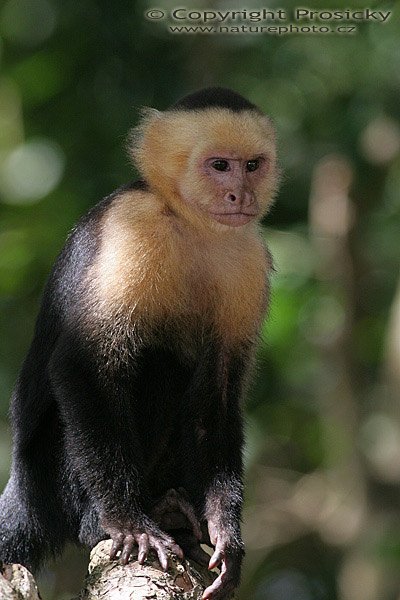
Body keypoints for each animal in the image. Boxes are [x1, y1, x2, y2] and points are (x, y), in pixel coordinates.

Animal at [0, 88, 278, 600]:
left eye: (252, 165)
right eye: (219, 166)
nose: (241, 195)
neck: (190, 223)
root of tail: (24, 488)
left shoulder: (246, 255)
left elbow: (217, 396)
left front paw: (225, 533)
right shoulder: (132, 226)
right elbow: (83, 364)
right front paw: (128, 524)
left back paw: (178, 519)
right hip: (51, 475)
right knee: (152, 366)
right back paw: (105, 522)